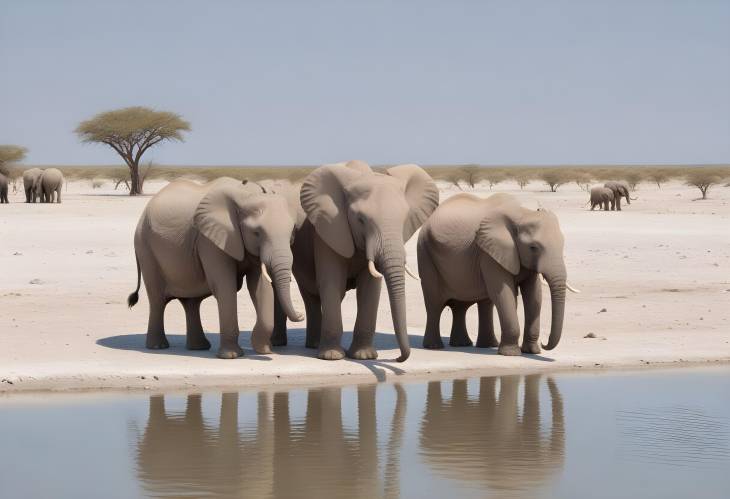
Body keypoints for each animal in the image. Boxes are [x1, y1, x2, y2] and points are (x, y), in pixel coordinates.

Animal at [126, 179, 302, 360]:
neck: (246, 193)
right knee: (157, 300)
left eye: (292, 232)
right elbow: (225, 287)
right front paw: (232, 356)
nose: (301, 315)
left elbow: (260, 287)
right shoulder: (210, 240)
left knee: (191, 303)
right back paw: (158, 346)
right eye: (256, 233)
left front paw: (264, 351)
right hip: (145, 248)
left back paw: (198, 348)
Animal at [270, 162, 436, 362]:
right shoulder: (328, 230)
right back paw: (314, 346)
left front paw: (364, 356)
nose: (398, 358)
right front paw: (332, 357)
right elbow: (332, 283)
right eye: (361, 220)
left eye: (405, 219)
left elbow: (370, 287)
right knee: (311, 296)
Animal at [418, 192, 576, 356]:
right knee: (434, 304)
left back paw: (472, 345)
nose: (544, 344)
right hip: (425, 252)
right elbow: (504, 294)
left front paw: (532, 351)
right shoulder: (489, 254)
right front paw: (511, 354)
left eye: (562, 244)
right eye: (533, 247)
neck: (522, 213)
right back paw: (434, 347)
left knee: (468, 306)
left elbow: (534, 295)